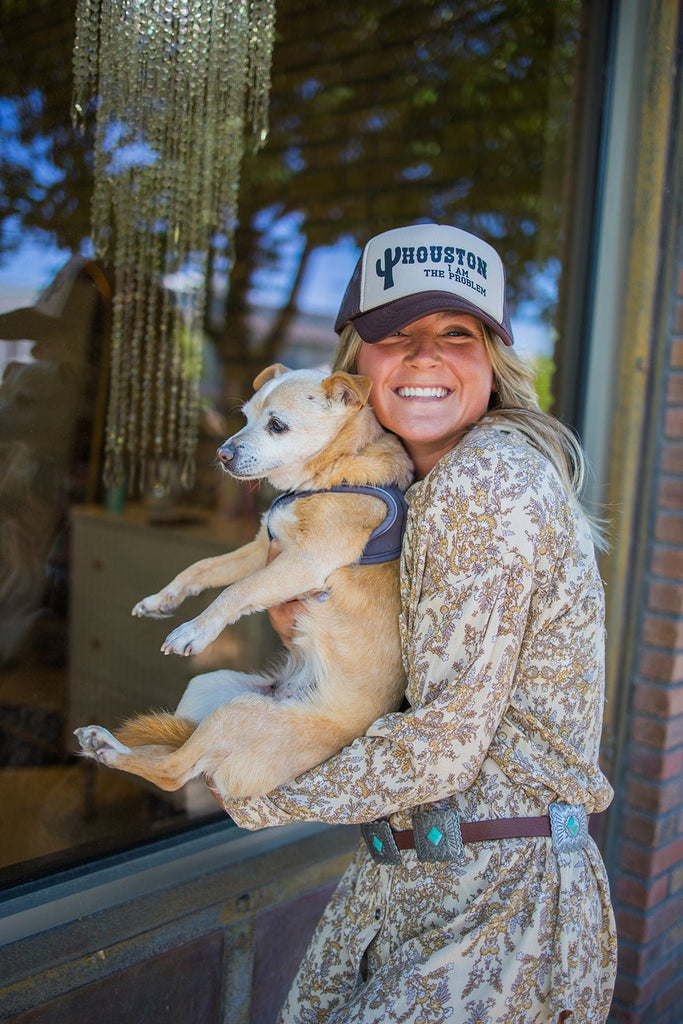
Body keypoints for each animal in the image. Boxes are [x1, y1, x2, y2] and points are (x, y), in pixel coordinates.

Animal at [76, 368, 417, 798]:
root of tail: (283, 690)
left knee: (173, 771)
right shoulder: (262, 548)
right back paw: (104, 742)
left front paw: (194, 631)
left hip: (237, 714)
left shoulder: (305, 561)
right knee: (174, 751)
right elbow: (202, 567)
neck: (331, 471)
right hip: (210, 688)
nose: (222, 454)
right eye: (244, 417)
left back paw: (108, 748)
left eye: (276, 425)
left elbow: (236, 590)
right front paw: (161, 599)